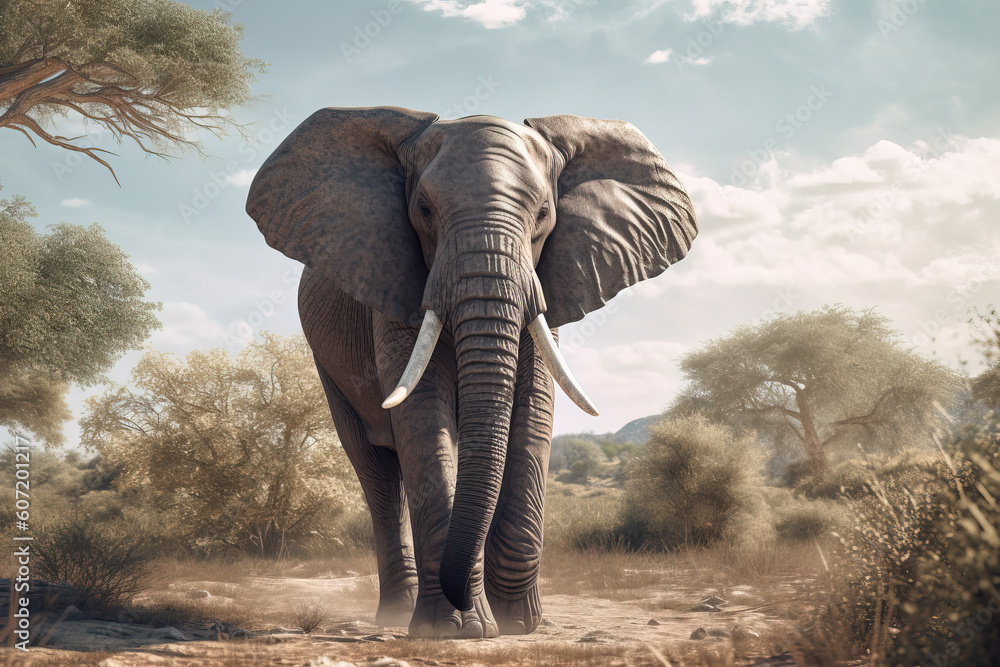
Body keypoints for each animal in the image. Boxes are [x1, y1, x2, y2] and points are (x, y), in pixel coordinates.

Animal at [245, 107, 697, 638]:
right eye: (423, 211)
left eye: (543, 215)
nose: (462, 598)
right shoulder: (394, 280)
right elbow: (422, 411)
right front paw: (456, 628)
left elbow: (535, 408)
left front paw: (518, 623)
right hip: (327, 366)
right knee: (377, 471)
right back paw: (397, 611)